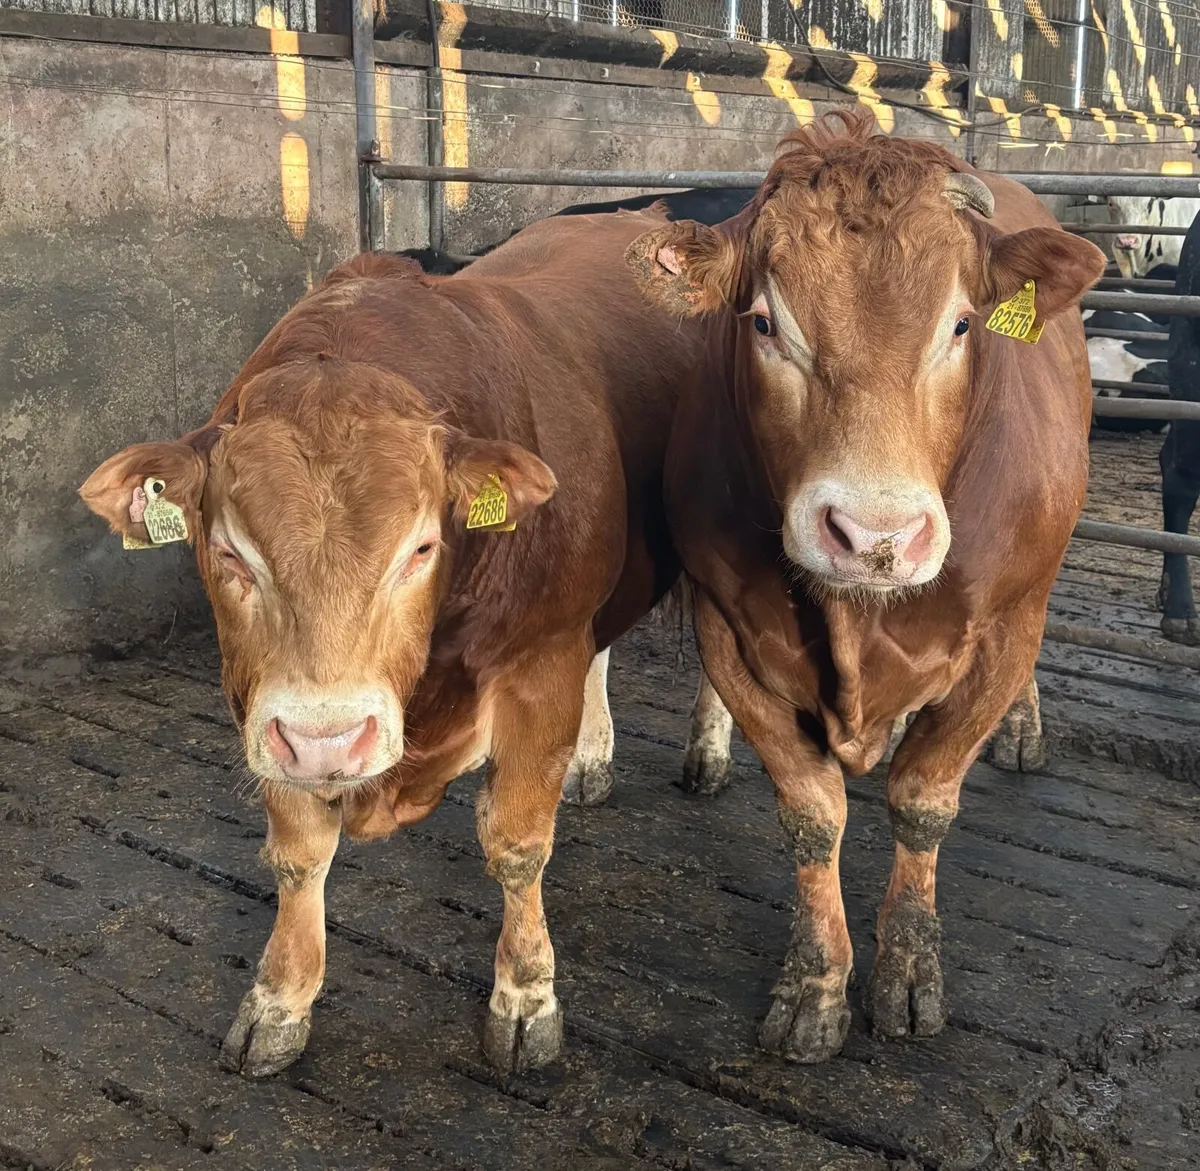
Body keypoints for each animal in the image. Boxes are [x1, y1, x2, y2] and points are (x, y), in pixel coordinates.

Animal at [79, 209, 708, 1078]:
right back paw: (592, 756)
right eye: (230, 552)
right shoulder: (262, 703)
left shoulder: (543, 663)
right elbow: (298, 853)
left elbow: (517, 844)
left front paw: (525, 997)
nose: (330, 739)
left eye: (420, 548)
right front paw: (278, 1002)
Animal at [627, 112, 1104, 1061]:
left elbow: (922, 801)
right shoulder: (730, 629)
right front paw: (815, 983)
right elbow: (812, 812)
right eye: (765, 323)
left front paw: (909, 970)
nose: (875, 534)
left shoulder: (1003, 630)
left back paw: (1024, 731)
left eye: (961, 325)